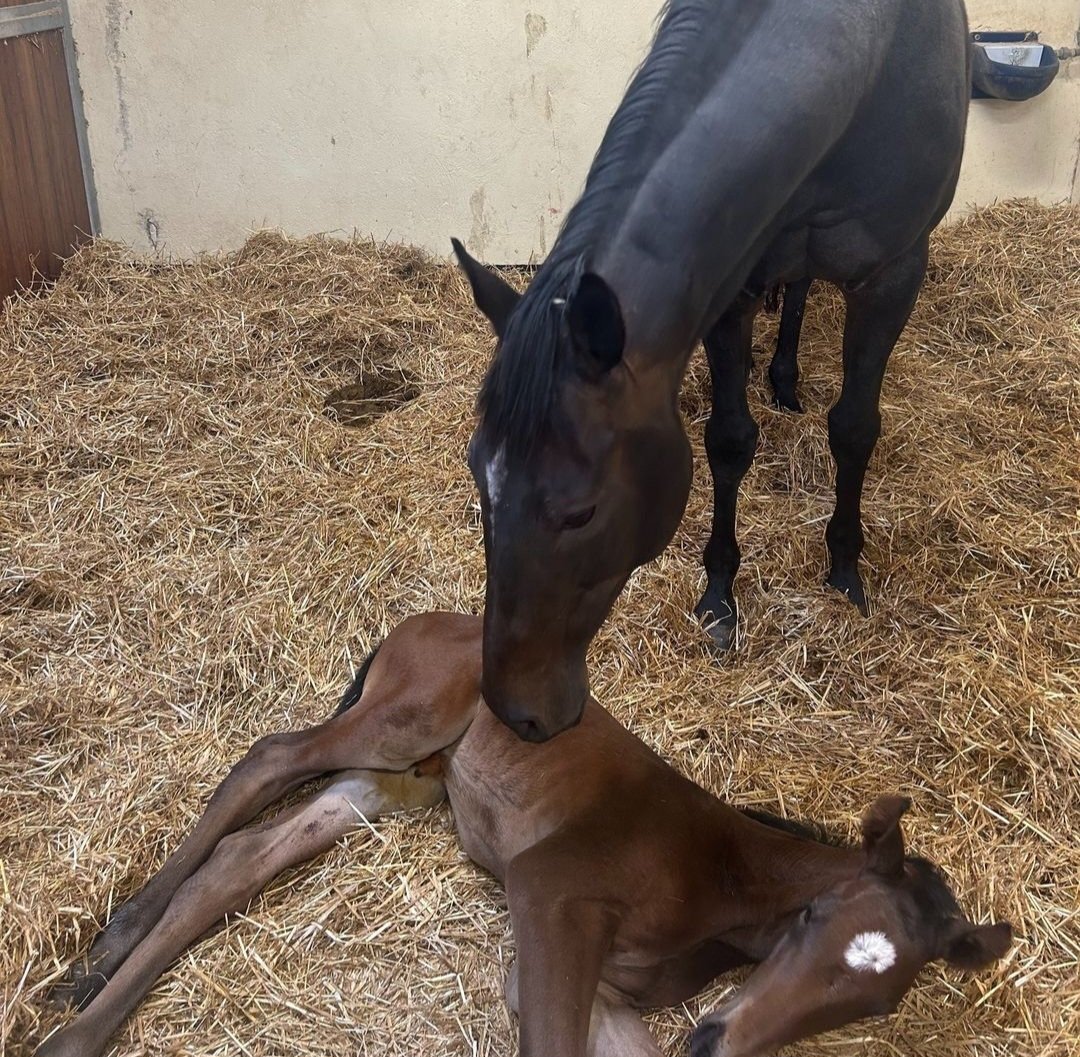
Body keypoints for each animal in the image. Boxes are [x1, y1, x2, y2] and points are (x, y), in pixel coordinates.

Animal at [35, 613, 1010, 1057]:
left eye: (878, 1003)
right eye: (813, 918)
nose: (717, 1041)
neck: (723, 873)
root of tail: (429, 619)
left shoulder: (611, 989)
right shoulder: (550, 897)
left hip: (403, 783)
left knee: (242, 859)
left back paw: (93, 991)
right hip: (401, 721)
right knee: (267, 759)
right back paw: (96, 971)